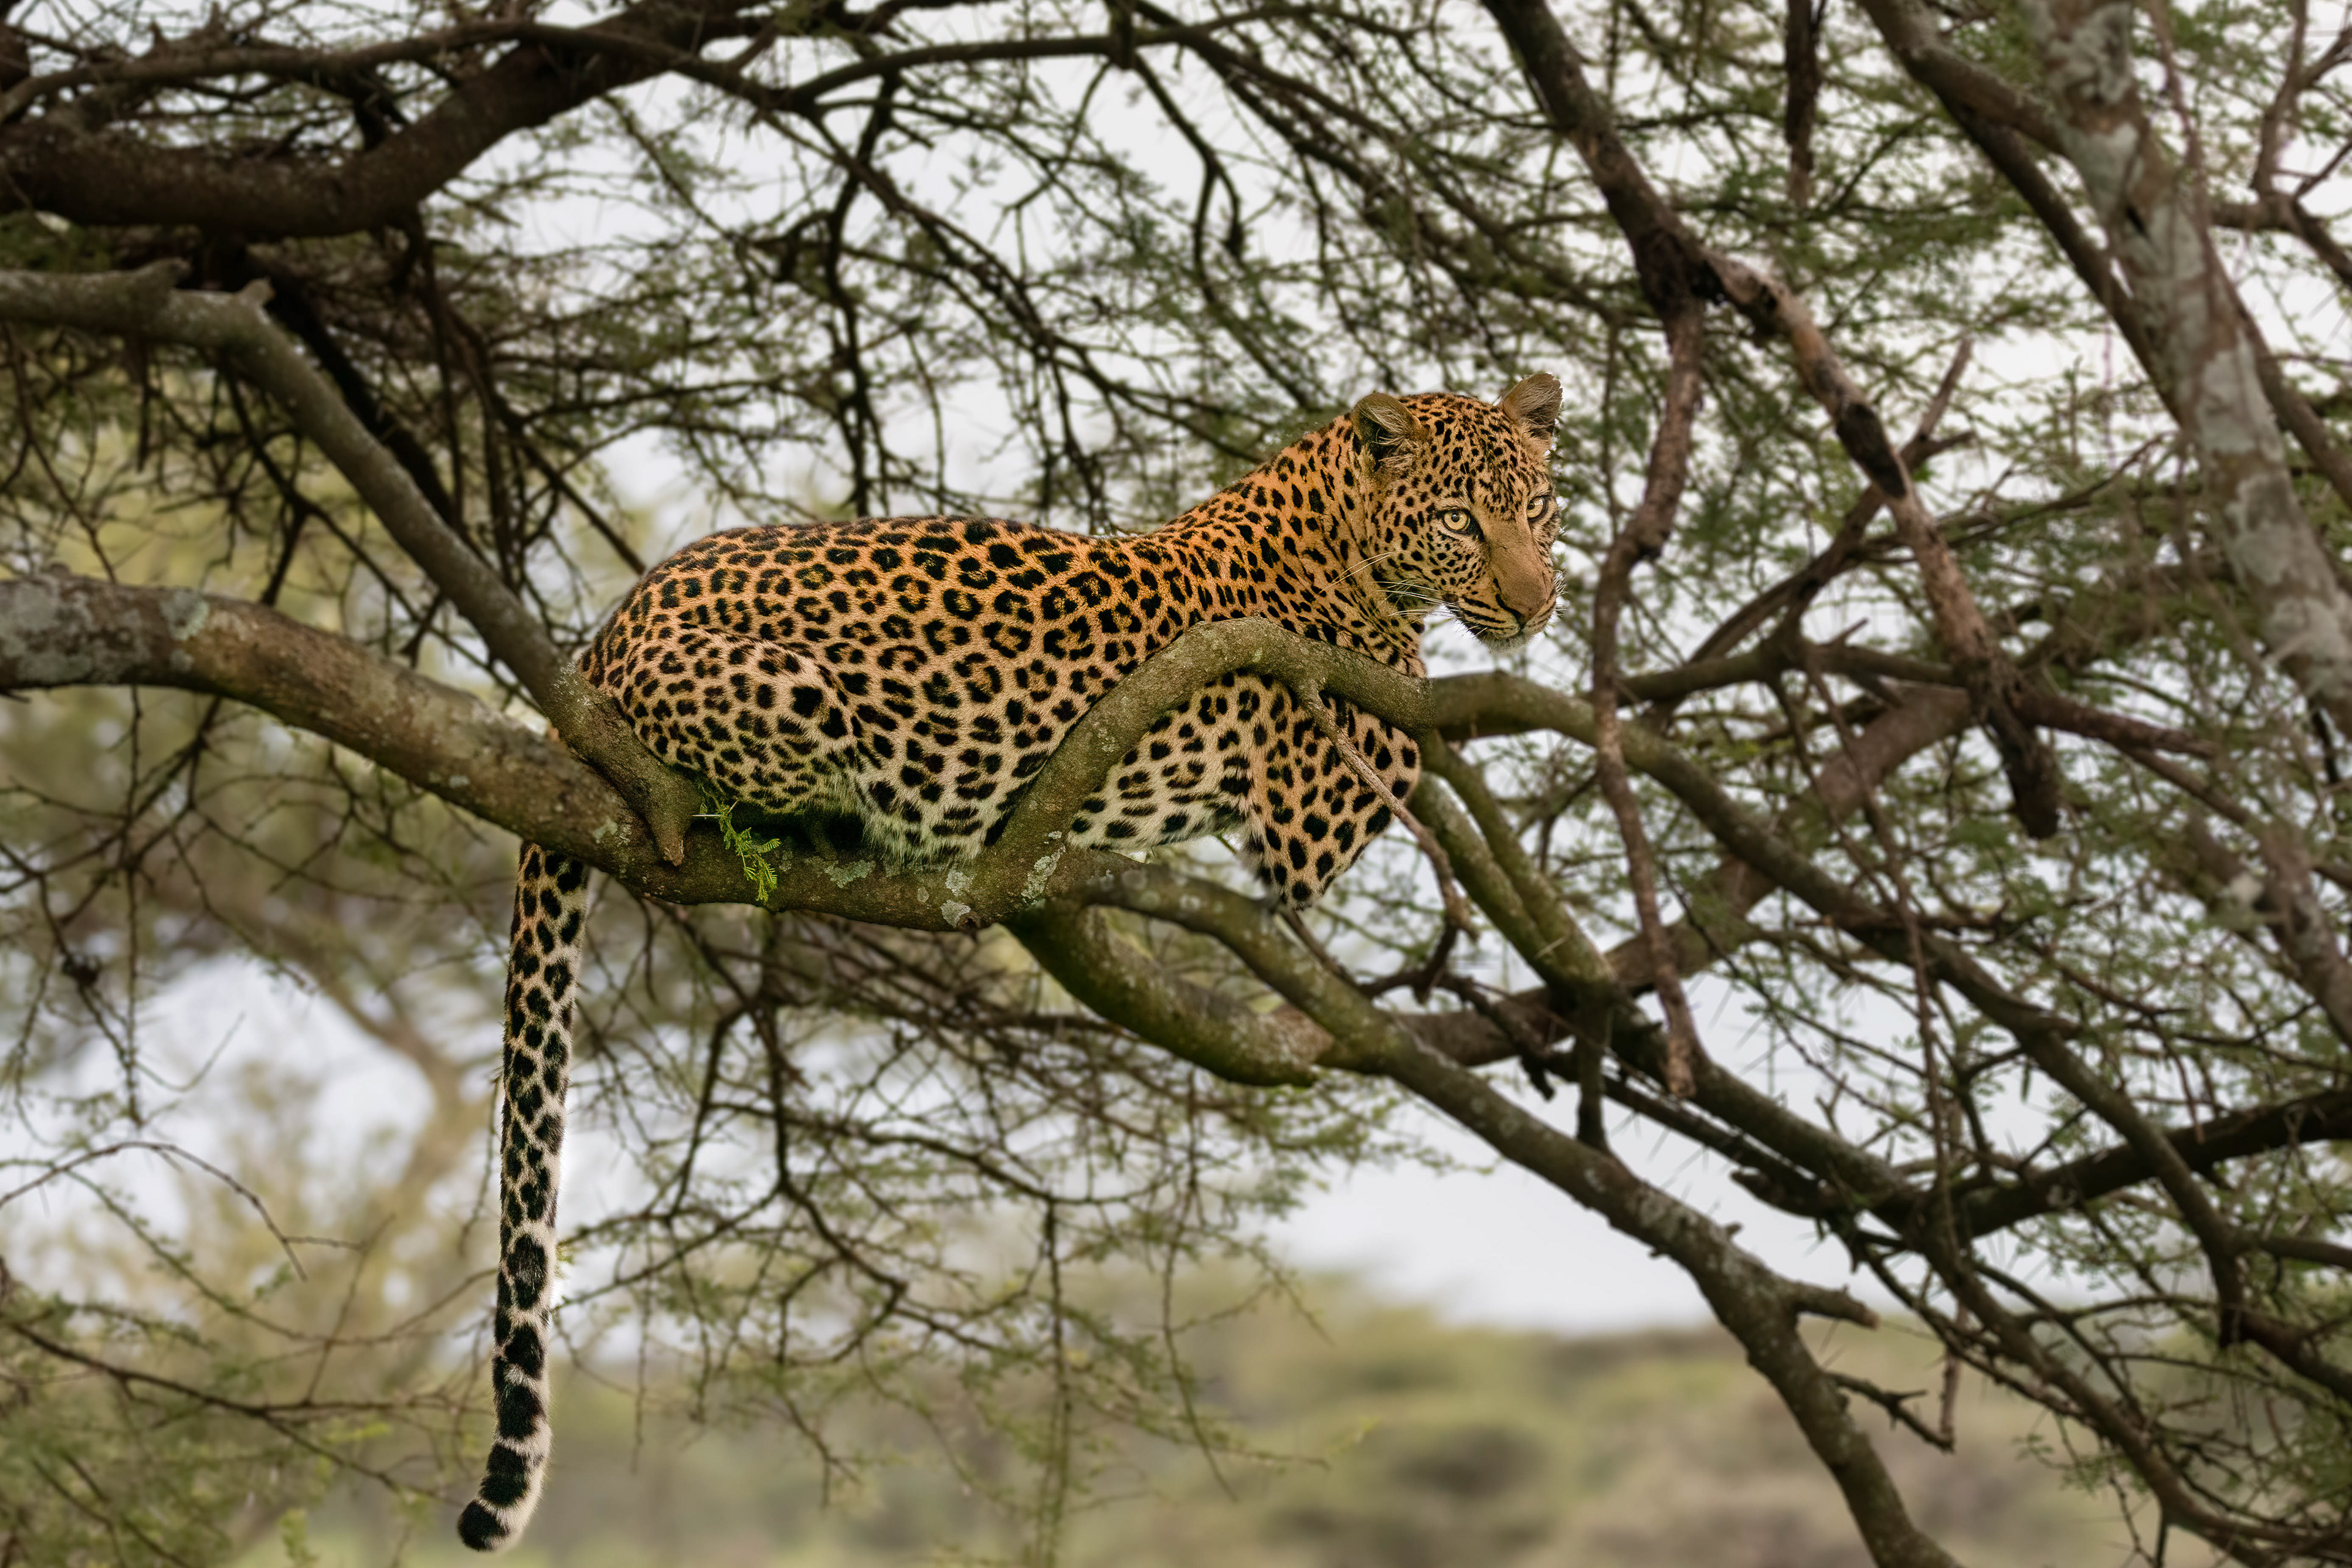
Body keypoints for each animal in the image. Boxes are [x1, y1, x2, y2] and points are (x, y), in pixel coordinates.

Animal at [457, 374, 1564, 1551]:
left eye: (1539, 509)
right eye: (1462, 524)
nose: (1537, 605)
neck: (1330, 524)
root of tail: (601, 638)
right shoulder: (1315, 806)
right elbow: (1416, 716)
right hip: (795, 697)